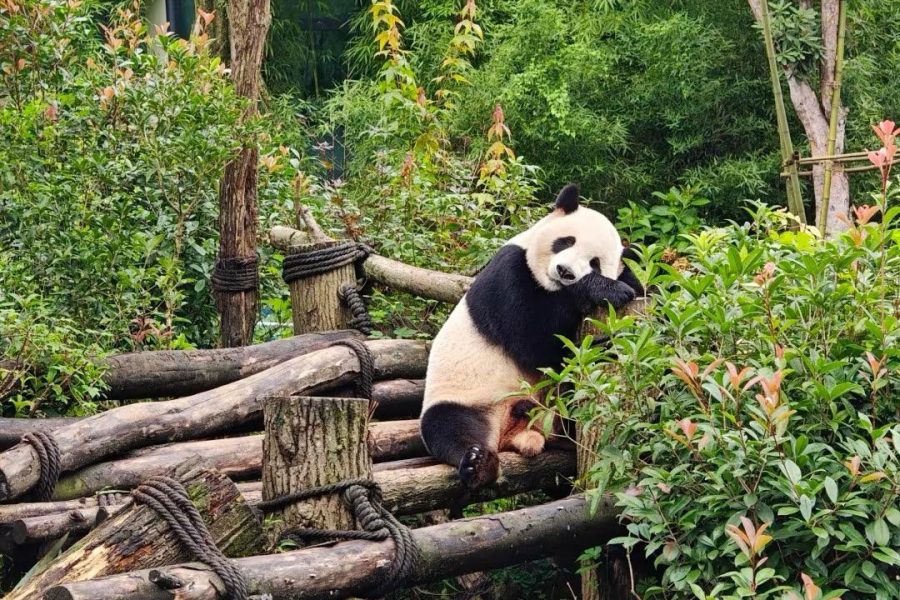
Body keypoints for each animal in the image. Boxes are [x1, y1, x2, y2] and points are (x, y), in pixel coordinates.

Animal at [420, 184, 644, 491]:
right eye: (566, 241)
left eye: (595, 262)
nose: (565, 272)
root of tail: (510, 435)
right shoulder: (509, 272)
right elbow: (534, 343)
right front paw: (606, 291)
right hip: (464, 396)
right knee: (447, 425)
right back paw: (478, 464)